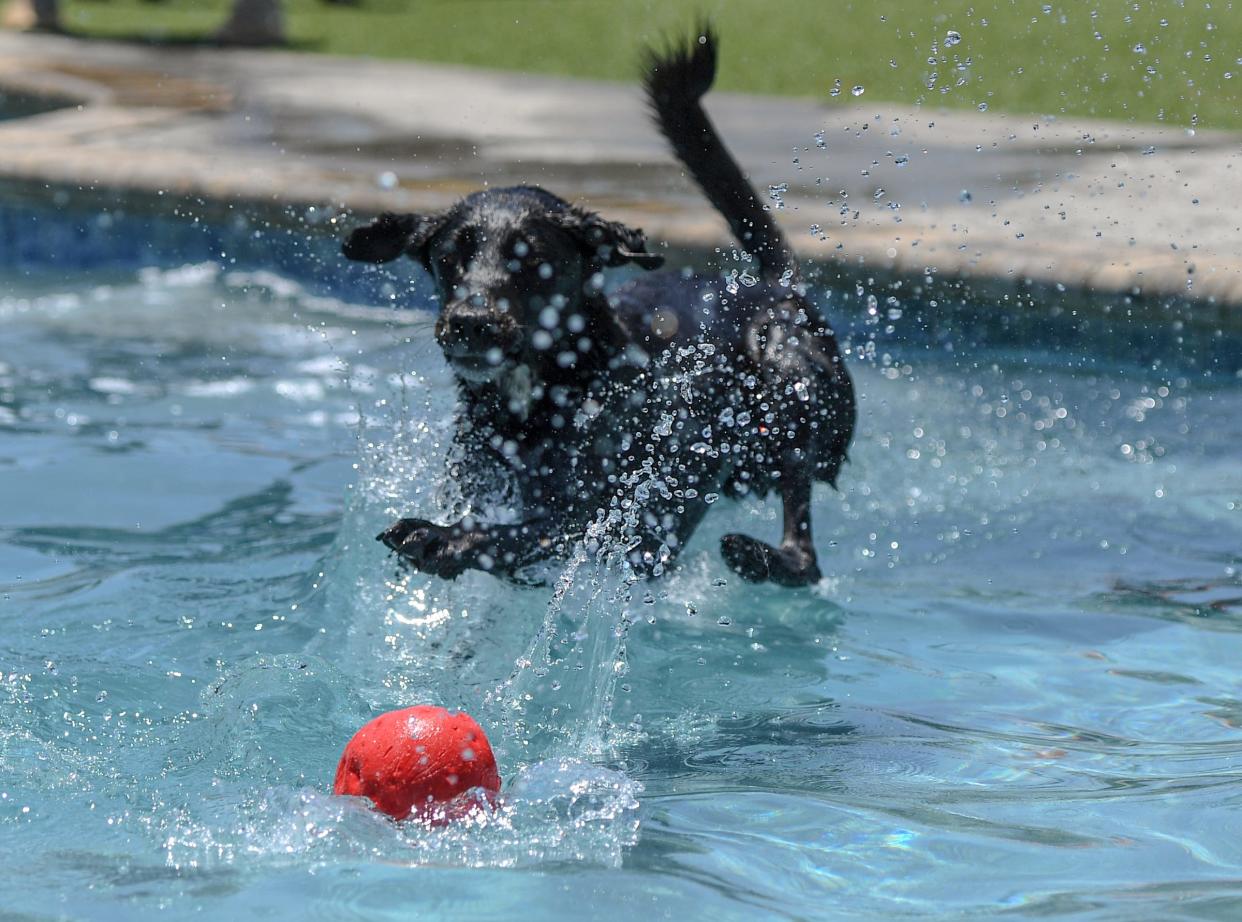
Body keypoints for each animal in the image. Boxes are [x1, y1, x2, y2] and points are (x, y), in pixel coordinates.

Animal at [345, 34, 859, 591]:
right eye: (449, 256)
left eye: (533, 258)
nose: (470, 323)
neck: (552, 398)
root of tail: (775, 284)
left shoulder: (621, 520)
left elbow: (527, 531)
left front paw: (442, 539)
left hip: (790, 376)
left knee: (804, 544)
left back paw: (762, 556)